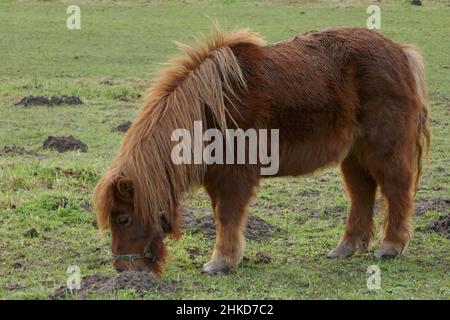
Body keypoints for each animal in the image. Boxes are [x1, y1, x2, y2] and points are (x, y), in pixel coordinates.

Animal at [93, 25, 430, 276]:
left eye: (123, 219)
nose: (123, 270)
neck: (210, 110)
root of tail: (399, 52)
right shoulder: (218, 178)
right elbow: (221, 216)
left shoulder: (234, 176)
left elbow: (227, 215)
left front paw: (221, 263)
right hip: (353, 154)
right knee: (362, 192)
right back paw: (345, 248)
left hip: (383, 149)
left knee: (396, 189)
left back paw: (390, 247)